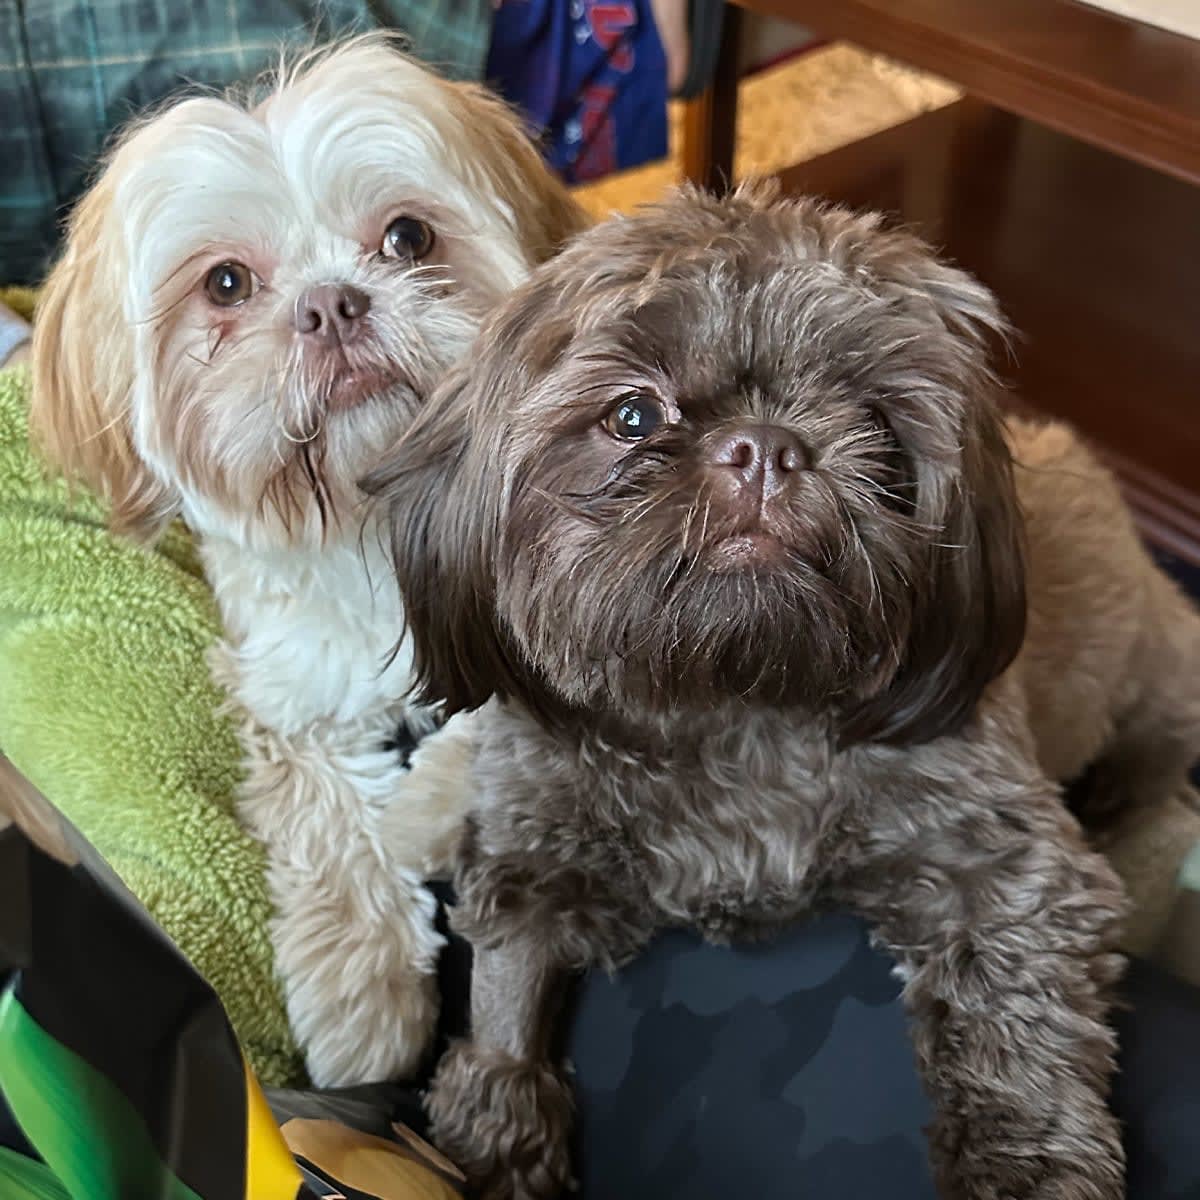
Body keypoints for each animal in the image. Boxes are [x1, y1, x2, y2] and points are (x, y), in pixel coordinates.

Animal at [29, 37, 590, 1089]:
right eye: (225, 285)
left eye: (407, 238)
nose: (331, 304)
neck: (369, 521)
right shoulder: (291, 687)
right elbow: (327, 815)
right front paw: (362, 990)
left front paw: (433, 803)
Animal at [364, 182, 1200, 1195]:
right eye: (631, 417)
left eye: (875, 420)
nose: (765, 445)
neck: (731, 699)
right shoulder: (537, 839)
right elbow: (505, 989)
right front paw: (498, 1127)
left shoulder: (1000, 856)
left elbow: (1016, 1021)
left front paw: (1027, 1165)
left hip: (1157, 675)